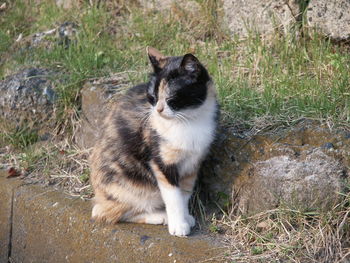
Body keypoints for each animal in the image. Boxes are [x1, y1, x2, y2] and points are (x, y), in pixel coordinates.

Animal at [89, 47, 217, 237]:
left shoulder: (192, 164)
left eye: (172, 98)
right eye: (153, 97)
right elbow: (173, 197)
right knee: (105, 212)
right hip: (128, 185)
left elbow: (184, 194)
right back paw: (160, 216)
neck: (188, 121)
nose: (158, 110)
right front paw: (178, 225)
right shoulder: (161, 162)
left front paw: (186, 217)